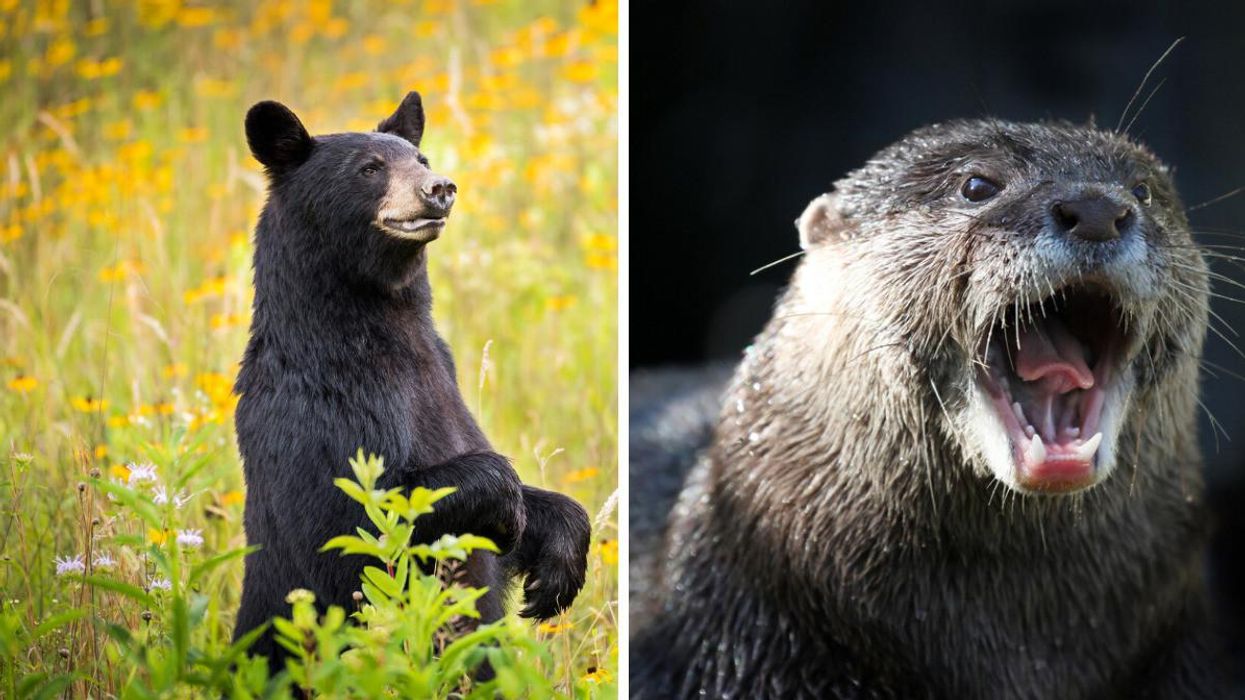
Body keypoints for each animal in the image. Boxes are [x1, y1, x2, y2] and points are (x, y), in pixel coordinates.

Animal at [231, 92, 592, 675]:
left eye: (420, 160)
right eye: (370, 168)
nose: (440, 187)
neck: (385, 333)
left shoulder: (443, 377)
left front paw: (556, 566)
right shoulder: (315, 413)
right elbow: (349, 523)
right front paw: (507, 502)